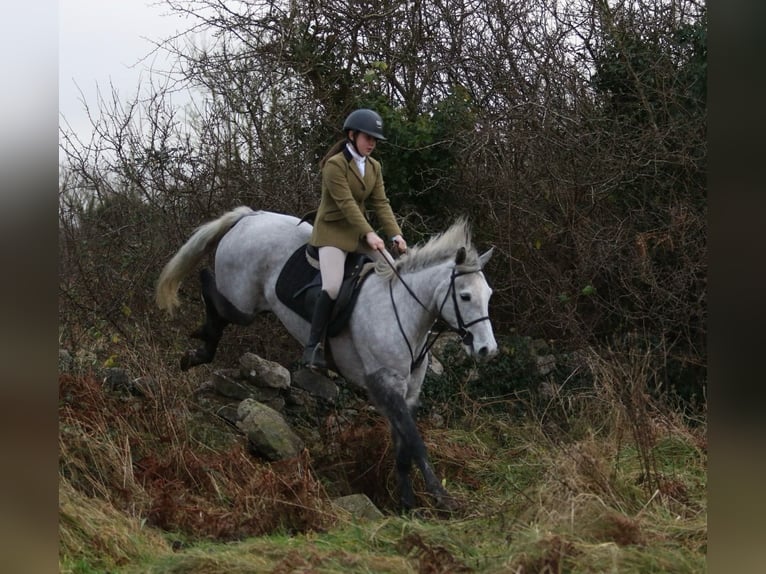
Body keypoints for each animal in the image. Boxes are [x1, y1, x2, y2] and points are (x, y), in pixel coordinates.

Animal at [159, 208, 500, 512]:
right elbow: (415, 442)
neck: (403, 312)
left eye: (489, 294)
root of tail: (250, 216)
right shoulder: (384, 385)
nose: (487, 349)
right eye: (465, 296)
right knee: (212, 291)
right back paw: (198, 348)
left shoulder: (408, 393)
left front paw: (406, 504)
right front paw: (442, 499)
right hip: (242, 302)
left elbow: (403, 447)